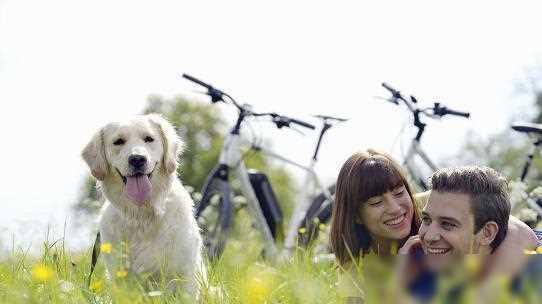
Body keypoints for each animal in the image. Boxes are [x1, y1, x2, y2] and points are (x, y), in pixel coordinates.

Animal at [82, 113, 205, 294]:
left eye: (149, 139)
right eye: (118, 141)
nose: (137, 159)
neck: (142, 216)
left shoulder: (184, 274)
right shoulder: (120, 277)